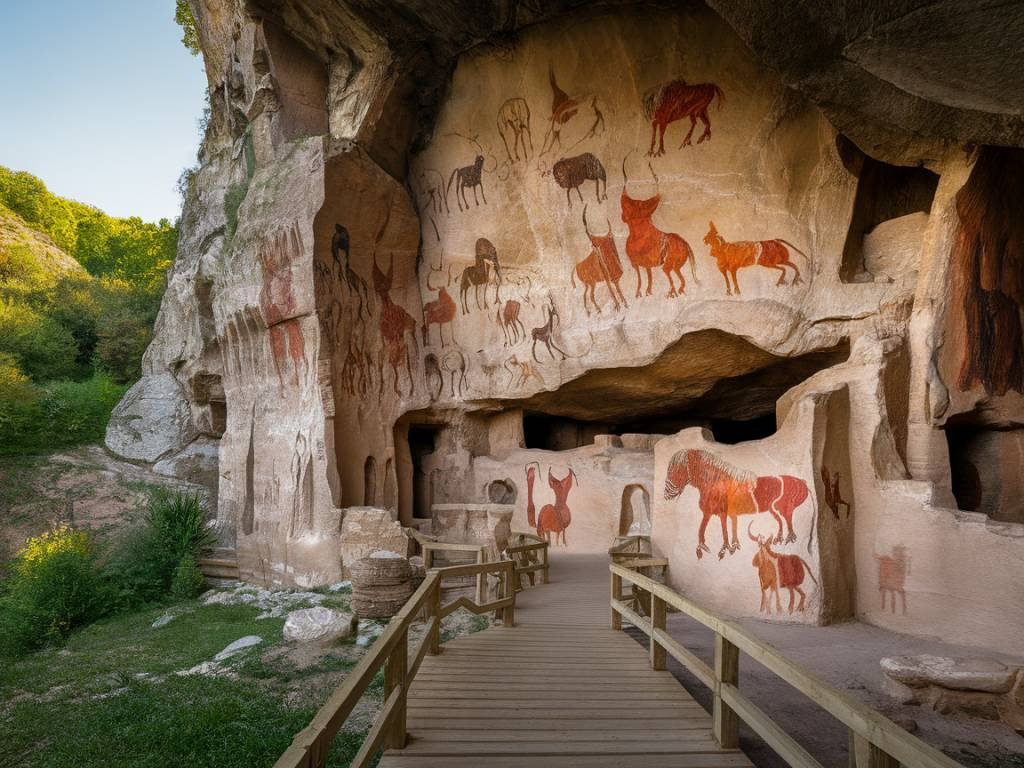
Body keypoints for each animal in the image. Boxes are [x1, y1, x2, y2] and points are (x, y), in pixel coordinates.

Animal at [663, 450, 806, 561]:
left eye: (675, 469)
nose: (666, 494)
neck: (715, 483)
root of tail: (799, 480)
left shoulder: (717, 512)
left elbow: (719, 530)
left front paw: (720, 550)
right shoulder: (713, 513)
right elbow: (714, 529)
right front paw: (719, 548)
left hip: (781, 509)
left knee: (787, 520)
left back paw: (787, 539)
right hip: (775, 510)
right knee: (783, 521)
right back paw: (781, 539)